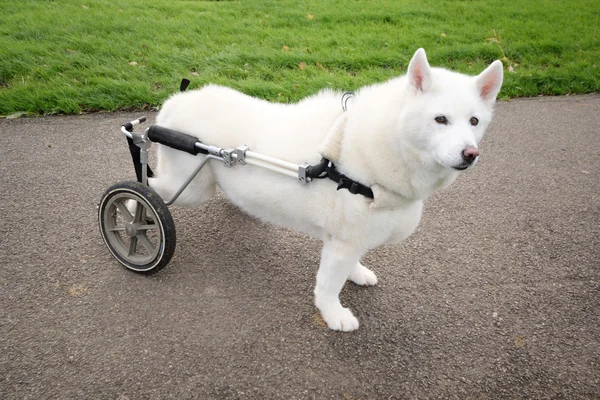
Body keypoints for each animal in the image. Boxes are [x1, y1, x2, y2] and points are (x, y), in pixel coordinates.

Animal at [149, 48, 502, 332]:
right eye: (440, 119)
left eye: (474, 121)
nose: (470, 154)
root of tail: (174, 101)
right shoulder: (342, 242)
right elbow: (329, 287)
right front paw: (334, 315)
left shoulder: (353, 236)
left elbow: (353, 262)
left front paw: (356, 273)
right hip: (189, 187)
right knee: (148, 186)